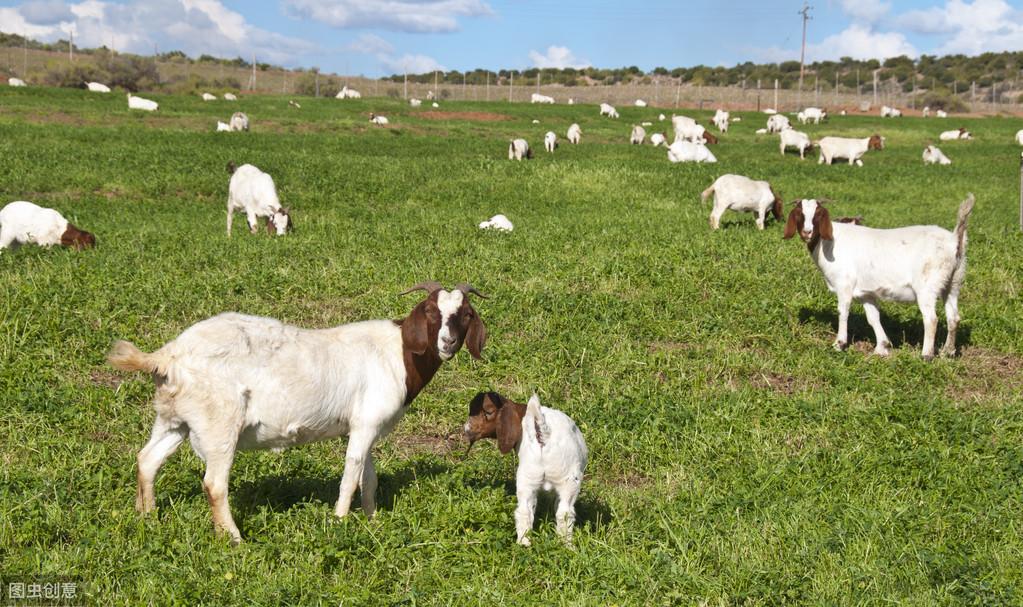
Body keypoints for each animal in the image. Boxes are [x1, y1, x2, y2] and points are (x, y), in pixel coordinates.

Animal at [107, 282, 486, 540]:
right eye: (431, 313)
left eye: (466, 315)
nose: (448, 342)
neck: (399, 352)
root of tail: (169, 355)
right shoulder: (366, 423)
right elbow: (351, 476)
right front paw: (339, 522)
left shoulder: (364, 425)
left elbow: (369, 476)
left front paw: (373, 520)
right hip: (219, 422)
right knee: (214, 483)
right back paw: (234, 539)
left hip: (175, 418)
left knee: (147, 459)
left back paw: (147, 517)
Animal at [466, 391, 589, 548]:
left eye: (488, 412)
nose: (466, 429)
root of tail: (544, 435)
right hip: (569, 480)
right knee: (565, 512)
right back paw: (567, 546)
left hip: (527, 477)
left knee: (524, 511)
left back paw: (524, 543)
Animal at [781, 194, 973, 358]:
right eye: (799, 214)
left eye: (818, 214)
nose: (807, 232)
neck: (828, 244)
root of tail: (955, 240)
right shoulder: (865, 292)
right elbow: (873, 318)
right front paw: (882, 347)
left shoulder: (845, 284)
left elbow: (843, 311)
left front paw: (839, 344)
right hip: (954, 281)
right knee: (953, 317)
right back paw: (948, 352)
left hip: (927, 286)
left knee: (931, 319)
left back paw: (926, 355)